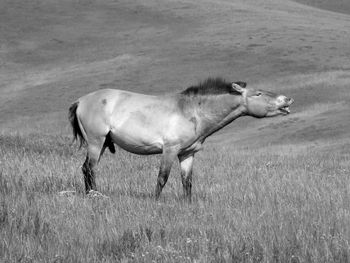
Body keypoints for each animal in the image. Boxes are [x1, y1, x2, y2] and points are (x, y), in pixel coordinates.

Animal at [68, 77, 292, 201]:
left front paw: (187, 203)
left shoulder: (187, 154)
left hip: (102, 144)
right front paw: (155, 201)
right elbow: (162, 178)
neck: (192, 111)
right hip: (96, 142)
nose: (287, 99)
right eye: (258, 93)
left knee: (86, 169)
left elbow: (187, 182)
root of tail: (81, 100)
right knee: (89, 168)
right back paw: (94, 195)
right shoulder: (170, 150)